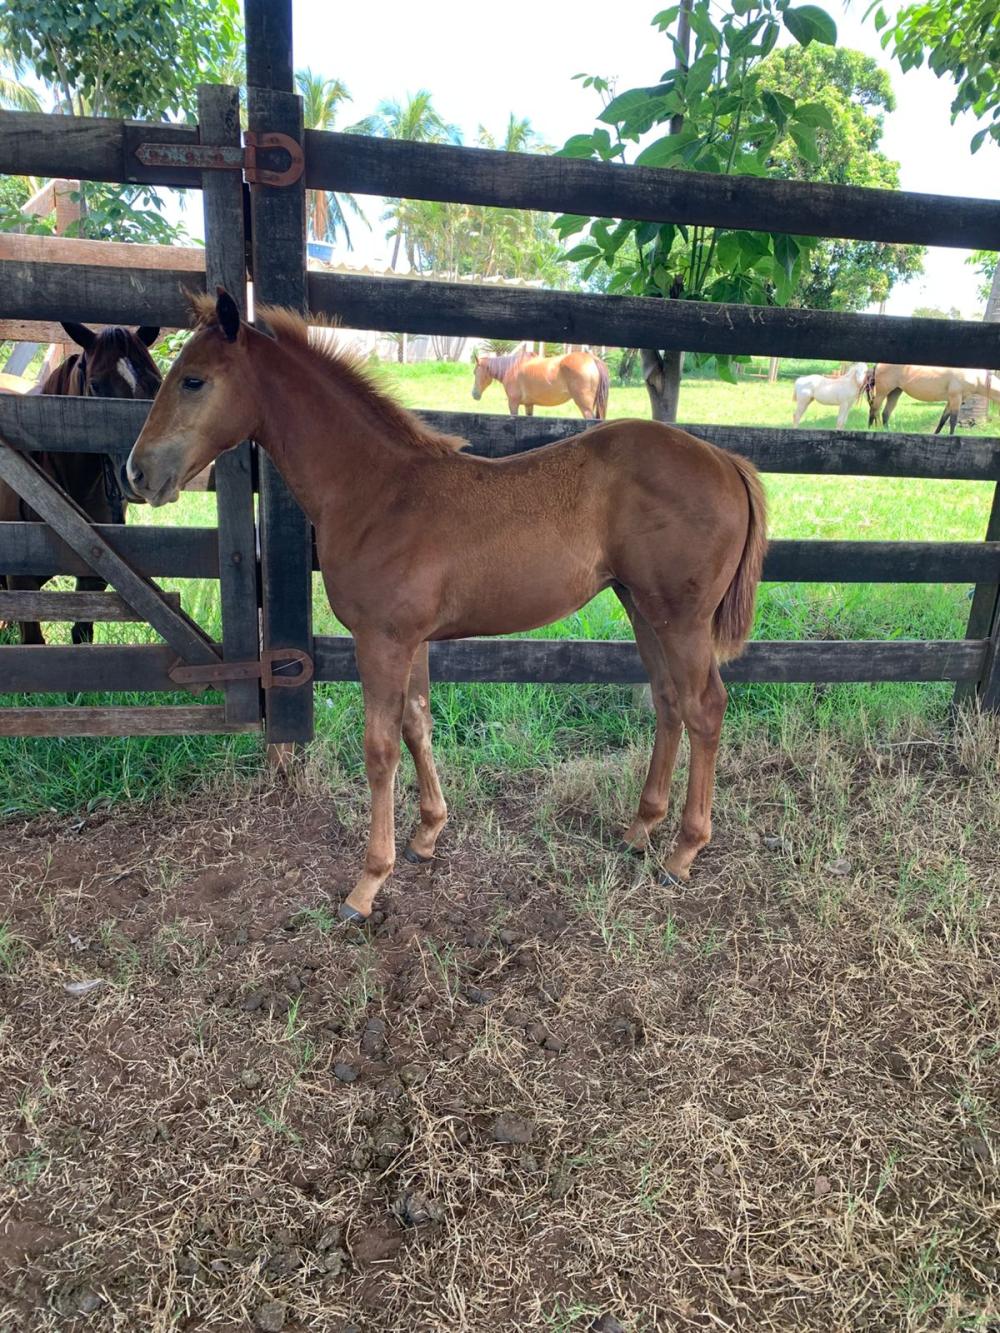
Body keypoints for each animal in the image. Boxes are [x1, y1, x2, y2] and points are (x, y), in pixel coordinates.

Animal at [0, 322, 160, 644]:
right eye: (95, 385)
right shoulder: (21, 579)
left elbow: (82, 635)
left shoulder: (94, 574)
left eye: (155, 383)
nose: (140, 473)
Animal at [472, 344, 610, 419]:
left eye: (474, 372)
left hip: (585, 407)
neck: (512, 368)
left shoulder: (513, 403)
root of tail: (592, 359)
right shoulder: (529, 405)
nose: (474, 394)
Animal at [865, 363, 1000, 435]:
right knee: (873, 410)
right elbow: (953, 420)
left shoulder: (951, 400)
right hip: (882, 392)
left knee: (885, 413)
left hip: (895, 392)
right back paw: (868, 429)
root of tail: (878, 364)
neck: (974, 375)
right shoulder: (955, 398)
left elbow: (943, 420)